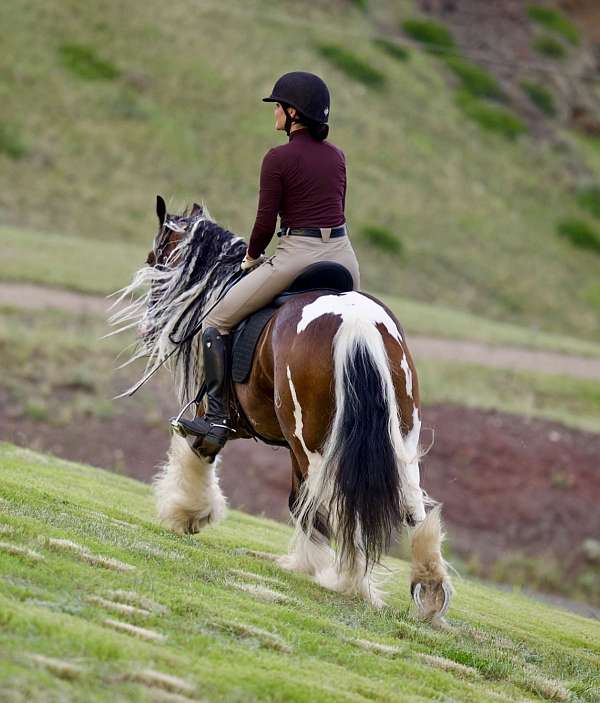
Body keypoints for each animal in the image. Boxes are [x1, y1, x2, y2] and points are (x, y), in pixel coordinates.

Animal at [110, 195, 452, 620]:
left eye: (156, 259)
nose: (148, 324)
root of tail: (356, 323)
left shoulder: (212, 416)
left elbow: (201, 450)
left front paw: (188, 513)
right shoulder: (291, 446)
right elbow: (298, 501)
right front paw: (304, 561)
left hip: (312, 441)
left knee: (336, 501)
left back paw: (350, 581)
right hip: (397, 435)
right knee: (412, 503)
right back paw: (428, 586)